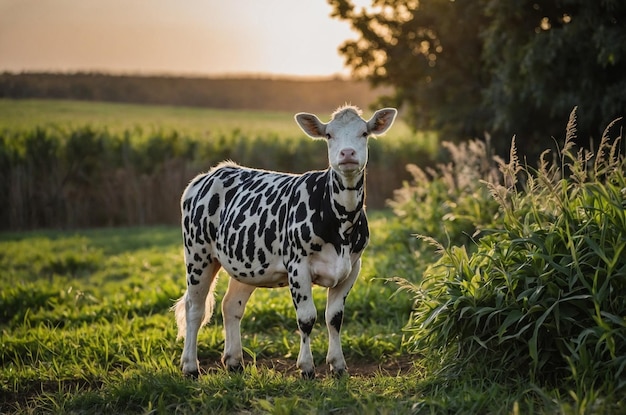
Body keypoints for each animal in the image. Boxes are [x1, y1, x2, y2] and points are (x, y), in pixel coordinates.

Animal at [172, 105, 394, 380]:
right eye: (329, 135)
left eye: (364, 133)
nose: (347, 153)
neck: (341, 221)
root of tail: (212, 173)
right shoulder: (298, 266)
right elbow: (307, 318)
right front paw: (306, 368)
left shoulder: (352, 267)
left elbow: (334, 318)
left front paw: (338, 365)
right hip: (198, 253)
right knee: (194, 308)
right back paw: (190, 367)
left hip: (245, 264)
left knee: (230, 305)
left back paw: (234, 362)